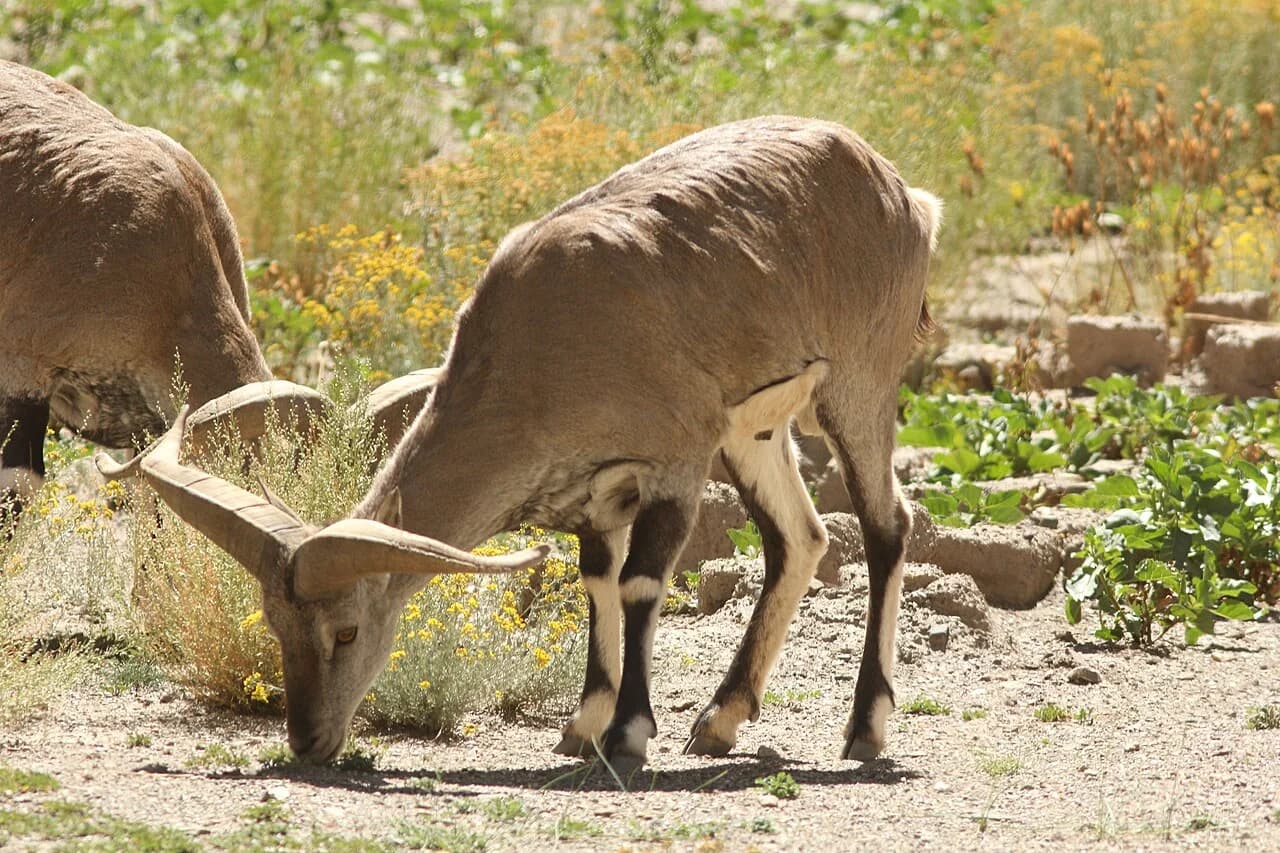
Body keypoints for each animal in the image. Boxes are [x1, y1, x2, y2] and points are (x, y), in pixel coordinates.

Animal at [135, 115, 941, 768]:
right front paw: (583, 724)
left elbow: (639, 584)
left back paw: (864, 728)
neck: (542, 342)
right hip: (756, 429)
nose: (307, 741)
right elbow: (596, 583)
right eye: (276, 621)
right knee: (799, 538)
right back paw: (720, 720)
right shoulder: (594, 493)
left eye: (346, 631)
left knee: (885, 526)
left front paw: (628, 734)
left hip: (858, 386)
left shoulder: (674, 460)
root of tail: (900, 190)